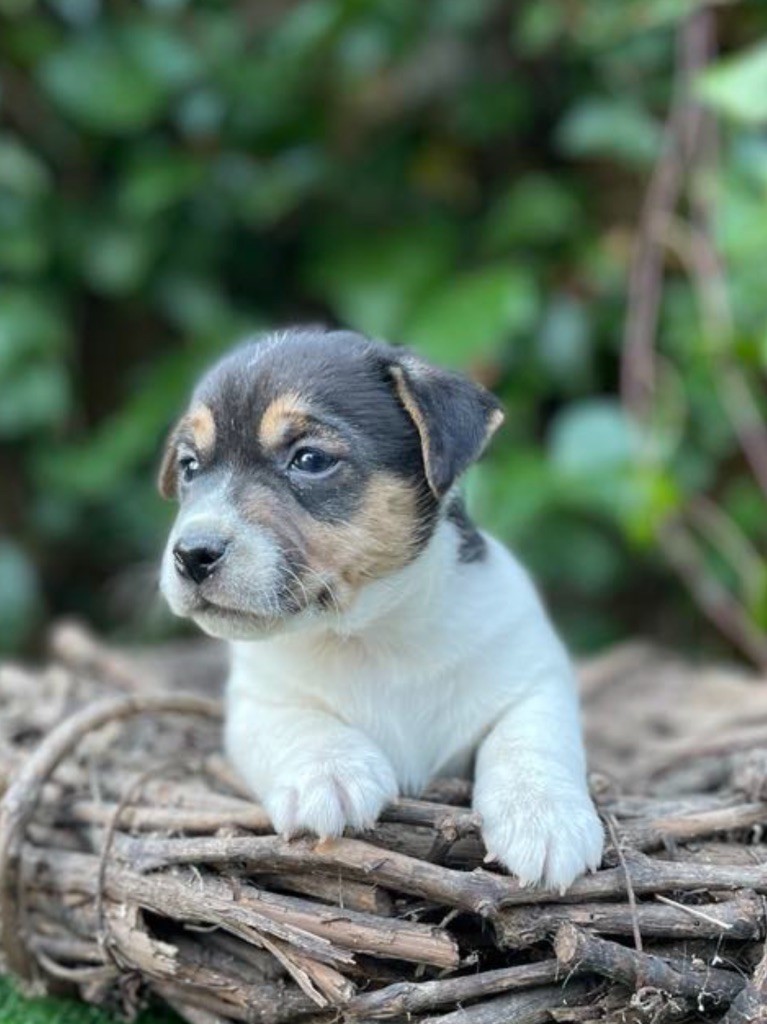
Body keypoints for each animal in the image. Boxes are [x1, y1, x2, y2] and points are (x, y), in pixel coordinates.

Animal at [158, 325, 606, 888]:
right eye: (190, 466)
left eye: (310, 460)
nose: (191, 555)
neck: (369, 631)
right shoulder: (257, 702)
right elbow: (300, 723)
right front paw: (328, 772)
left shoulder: (534, 679)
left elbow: (529, 741)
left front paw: (544, 816)